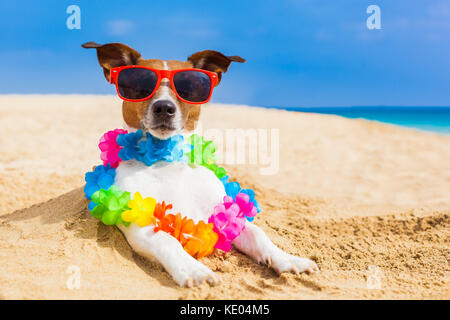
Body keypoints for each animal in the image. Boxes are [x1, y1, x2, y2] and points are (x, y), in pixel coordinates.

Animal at [82, 42, 318, 288]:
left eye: (191, 87)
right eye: (138, 83)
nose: (164, 107)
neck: (167, 162)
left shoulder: (226, 219)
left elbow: (258, 234)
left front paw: (288, 259)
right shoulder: (141, 223)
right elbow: (167, 240)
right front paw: (194, 269)